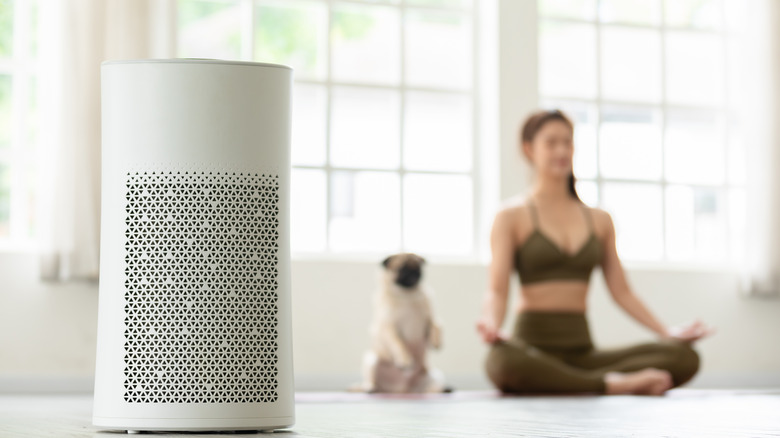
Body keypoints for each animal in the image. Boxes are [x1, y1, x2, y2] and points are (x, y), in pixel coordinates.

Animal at [354, 253, 448, 394]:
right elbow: (398, 343)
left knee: (427, 389)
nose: (414, 272)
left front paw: (436, 342)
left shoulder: (430, 318)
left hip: (433, 375)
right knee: (372, 381)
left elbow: (436, 326)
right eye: (402, 268)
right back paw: (370, 388)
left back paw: (440, 389)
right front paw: (405, 360)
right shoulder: (388, 328)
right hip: (371, 360)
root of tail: (401, 390)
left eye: (419, 268)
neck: (407, 296)